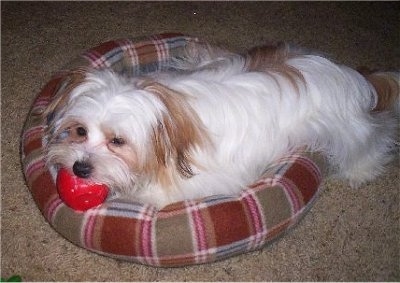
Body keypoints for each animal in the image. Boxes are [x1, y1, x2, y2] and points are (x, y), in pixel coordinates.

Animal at [41, 40, 400, 209]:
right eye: (80, 131)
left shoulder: (199, 181)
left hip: (348, 129)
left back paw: (362, 169)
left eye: (117, 141)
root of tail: (348, 72)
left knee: (373, 137)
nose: (80, 168)